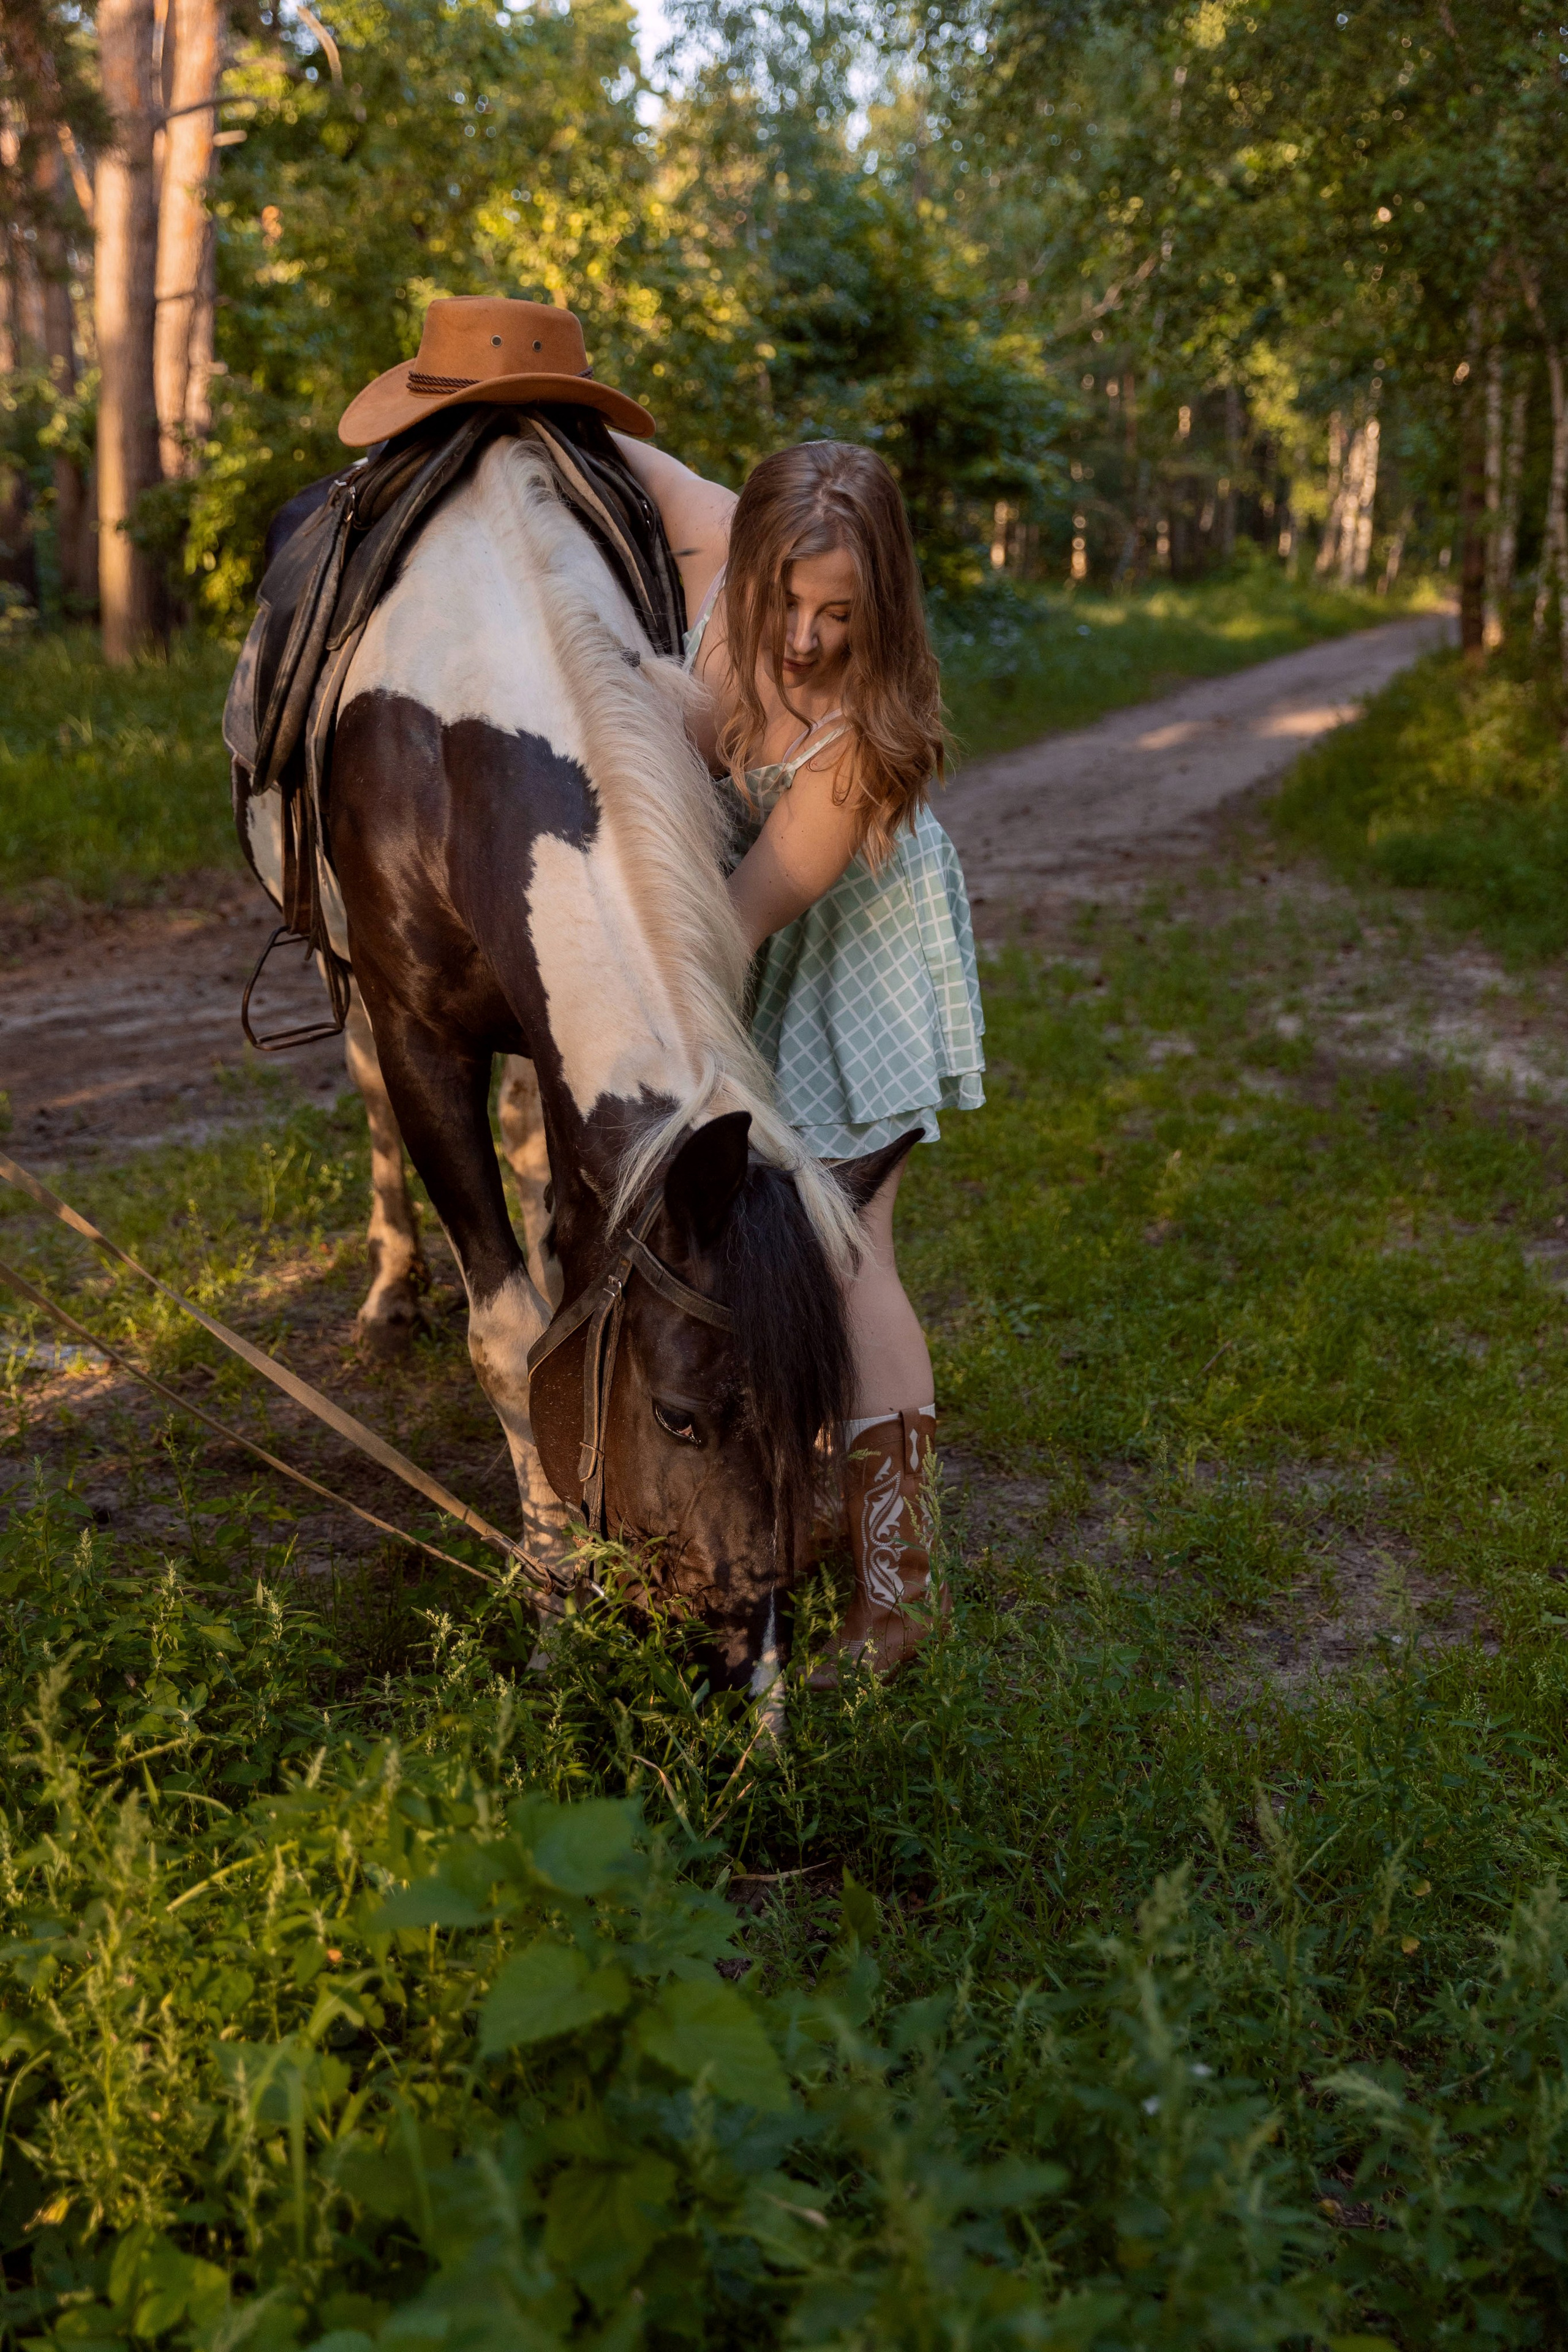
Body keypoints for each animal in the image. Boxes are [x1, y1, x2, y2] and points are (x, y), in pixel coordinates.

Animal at [261, 429, 907, 1689]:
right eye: (680, 1416)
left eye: (818, 1412)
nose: (743, 1651)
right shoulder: (419, 1038)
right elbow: (509, 1334)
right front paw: (557, 1597)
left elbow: (566, 1268)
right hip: (348, 982)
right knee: (371, 1106)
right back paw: (390, 1287)